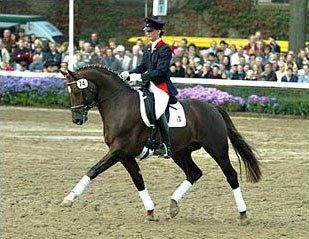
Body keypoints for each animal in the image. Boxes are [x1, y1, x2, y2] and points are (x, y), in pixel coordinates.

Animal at [59, 64, 260, 222]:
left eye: (77, 92)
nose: (77, 119)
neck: (119, 104)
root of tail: (213, 108)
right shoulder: (124, 155)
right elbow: (138, 180)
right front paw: (150, 212)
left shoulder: (119, 150)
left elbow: (93, 170)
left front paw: (68, 199)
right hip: (180, 152)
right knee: (194, 173)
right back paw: (173, 205)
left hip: (217, 149)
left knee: (231, 175)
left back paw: (243, 214)